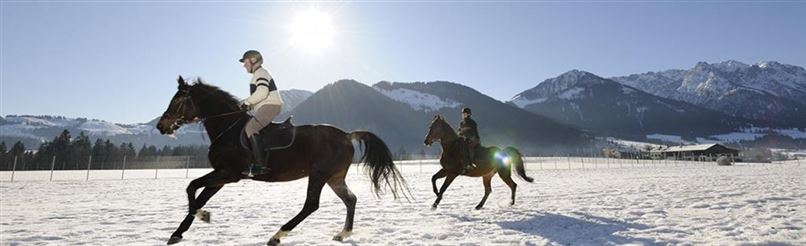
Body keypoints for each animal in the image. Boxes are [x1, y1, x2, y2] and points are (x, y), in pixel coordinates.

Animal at [158, 76, 410, 244]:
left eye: (178, 101)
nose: (161, 126)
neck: (227, 128)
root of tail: (347, 135)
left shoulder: (229, 174)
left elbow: (192, 188)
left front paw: (201, 216)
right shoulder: (221, 177)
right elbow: (198, 195)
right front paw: (179, 232)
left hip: (319, 174)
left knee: (311, 205)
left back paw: (278, 235)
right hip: (334, 177)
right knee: (350, 199)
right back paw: (342, 233)